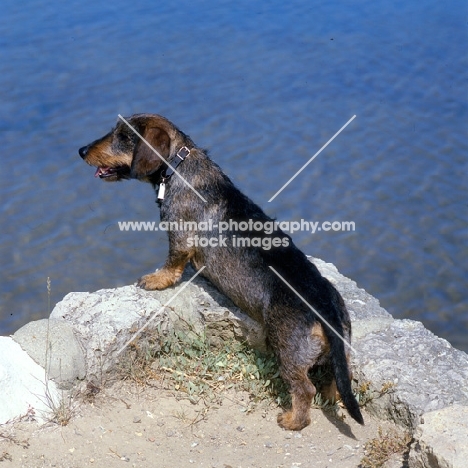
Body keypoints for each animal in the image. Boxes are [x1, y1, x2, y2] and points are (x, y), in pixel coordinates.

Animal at [78, 114, 364, 432]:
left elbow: (173, 262)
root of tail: (326, 307)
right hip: (339, 352)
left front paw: (155, 279)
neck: (180, 167)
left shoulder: (180, 234)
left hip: (287, 350)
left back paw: (291, 420)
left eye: (123, 136)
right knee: (340, 377)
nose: (81, 150)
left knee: (304, 388)